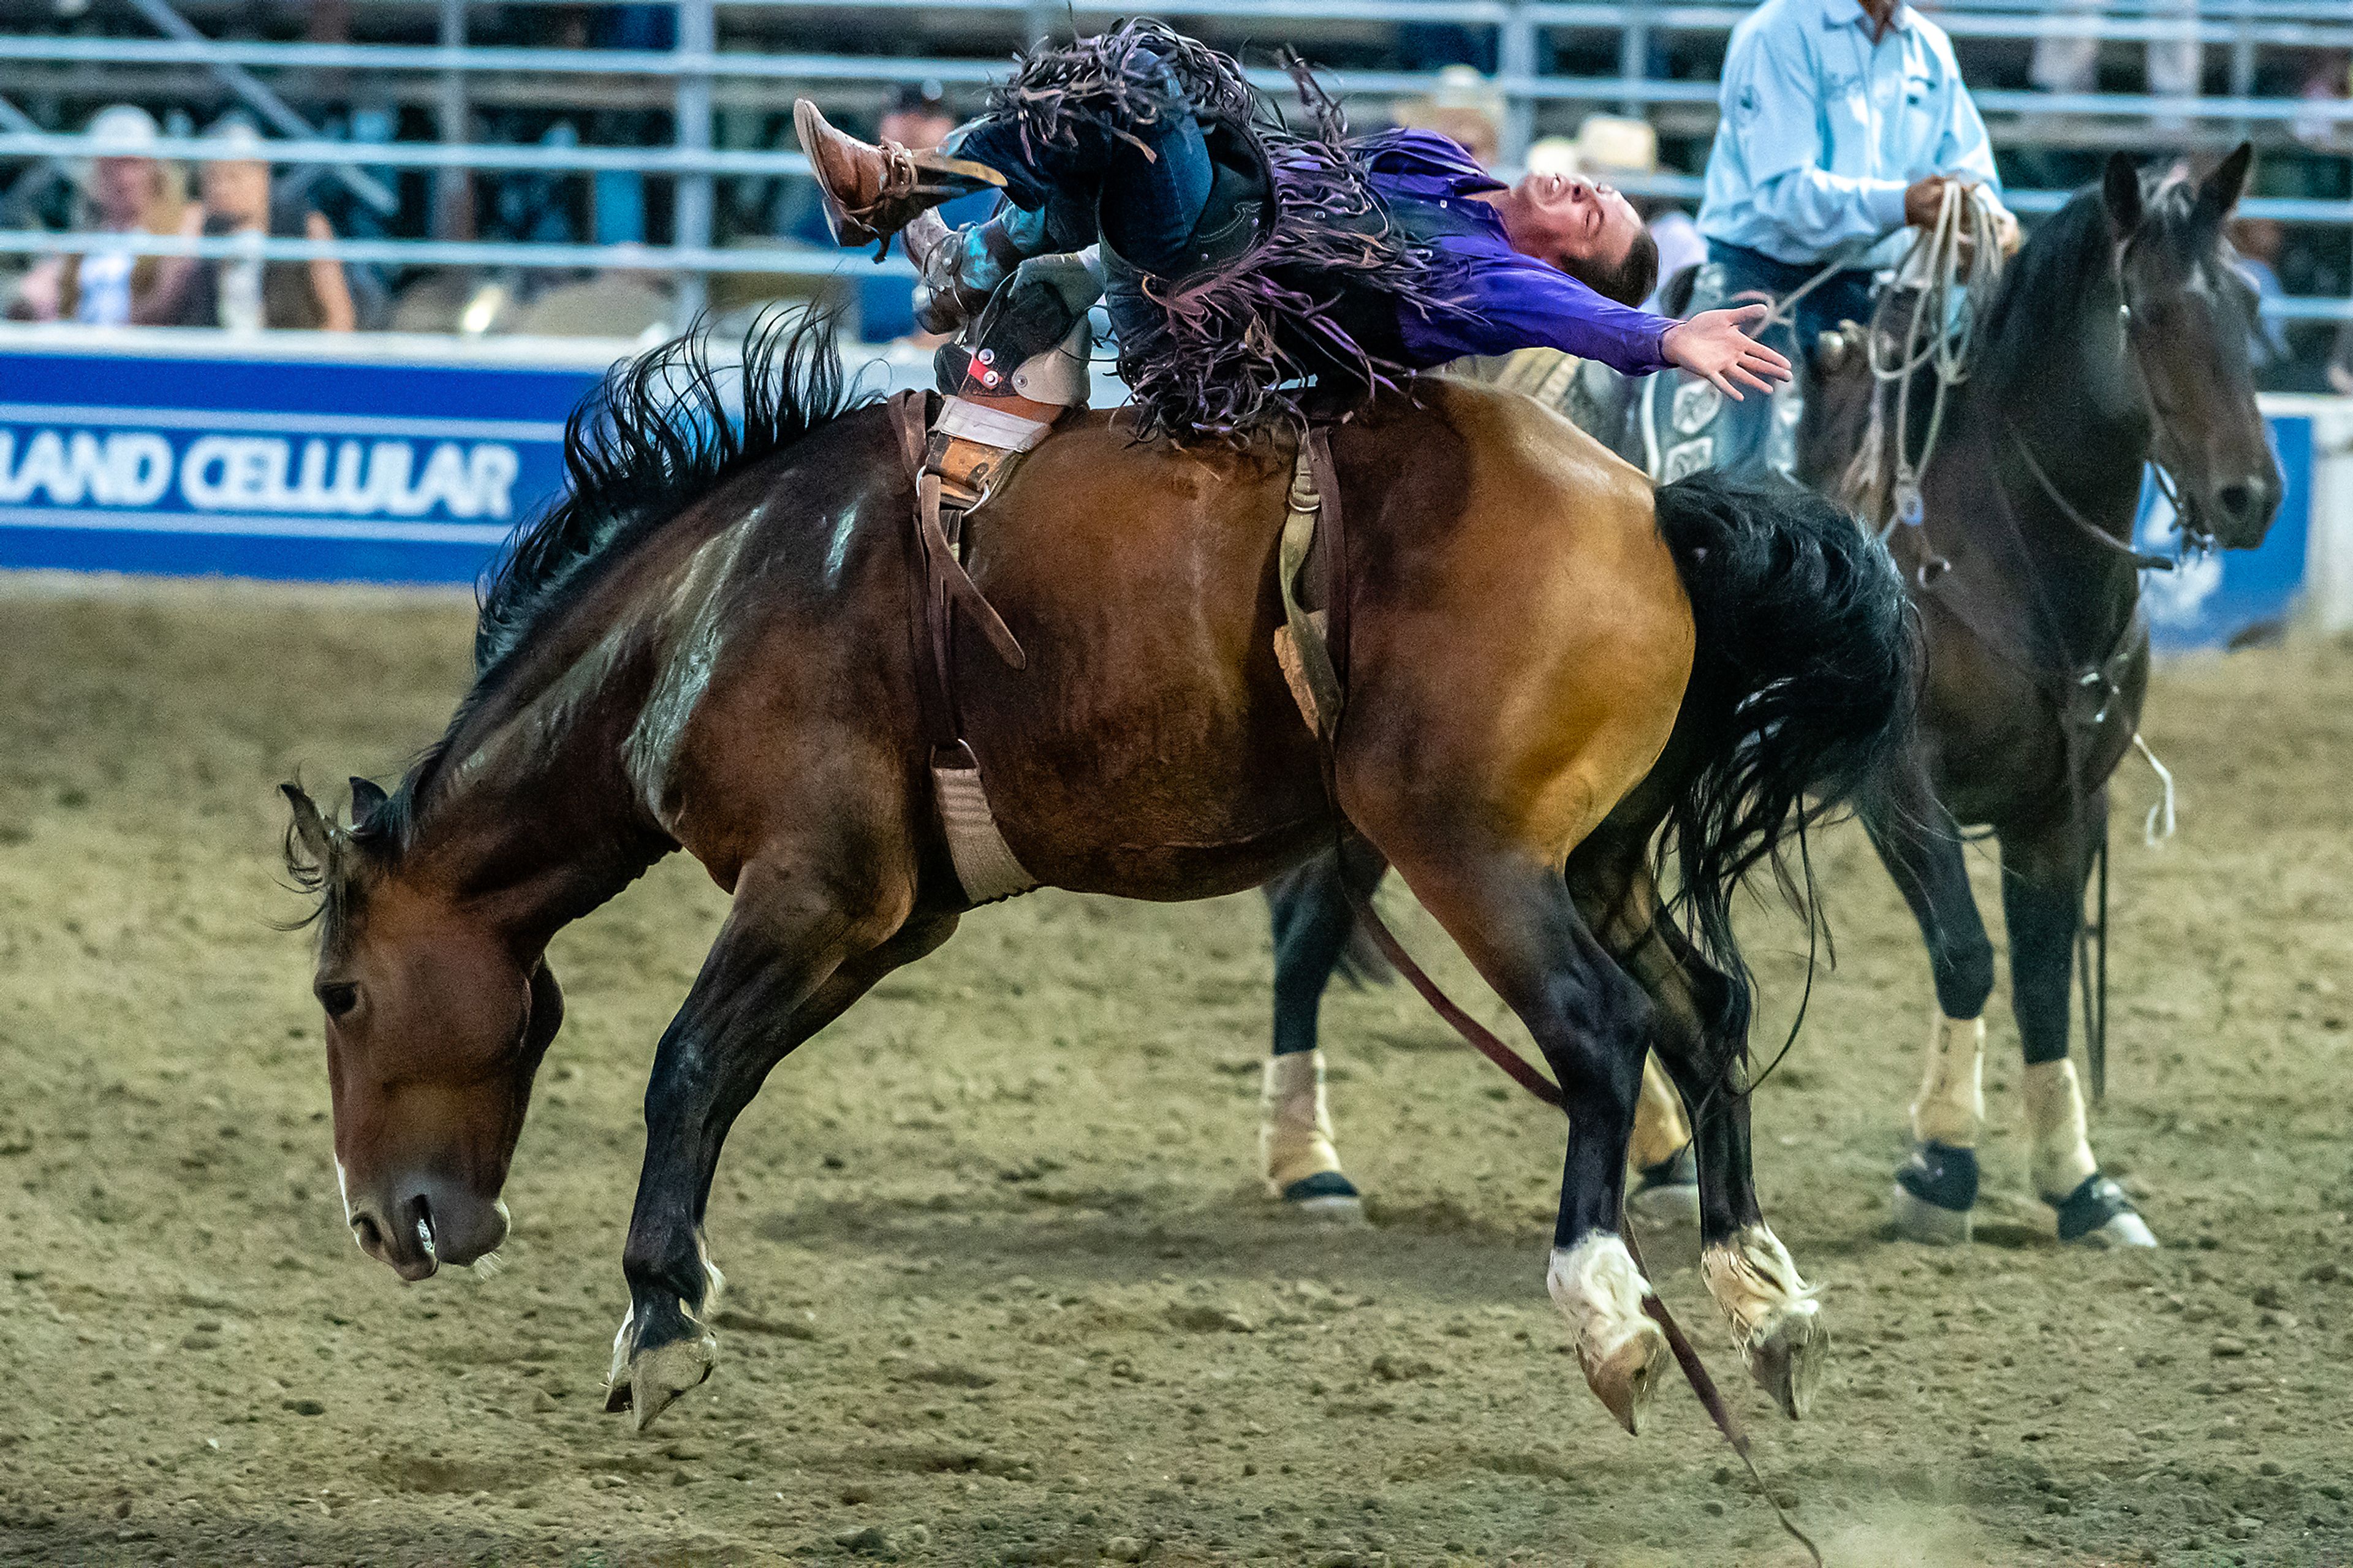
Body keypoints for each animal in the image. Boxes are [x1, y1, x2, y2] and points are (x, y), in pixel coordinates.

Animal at [289, 315, 1911, 1431]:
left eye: (341, 993)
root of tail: (1649, 509)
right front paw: (679, 1292)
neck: (717, 600)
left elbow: (682, 1067)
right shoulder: (884, 917)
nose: (380, 1221)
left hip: (1471, 846)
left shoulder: (809, 885)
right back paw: (1757, 1288)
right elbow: (729, 1074)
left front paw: (655, 1328)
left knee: (1600, 1030)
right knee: (1705, 1009)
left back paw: (1608, 1308)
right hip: (1599, 851)